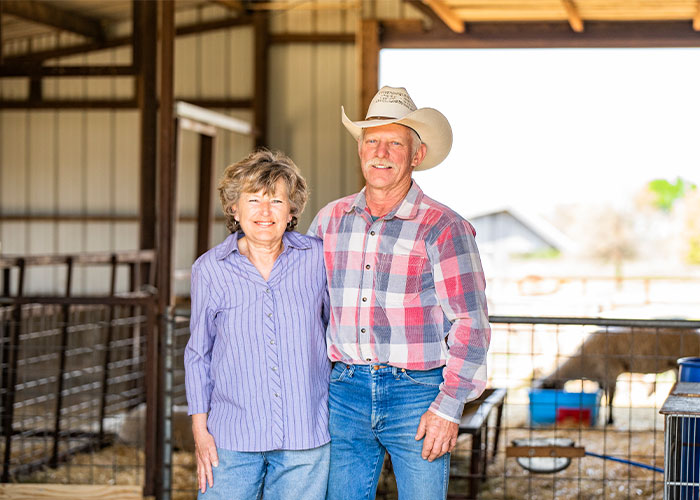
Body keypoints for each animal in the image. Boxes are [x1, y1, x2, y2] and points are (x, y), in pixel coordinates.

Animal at [536, 326, 700, 424]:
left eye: (546, 388)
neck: (582, 362)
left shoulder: (610, 371)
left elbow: (610, 399)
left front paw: (609, 421)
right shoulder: (601, 376)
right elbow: (602, 396)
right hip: (675, 367)